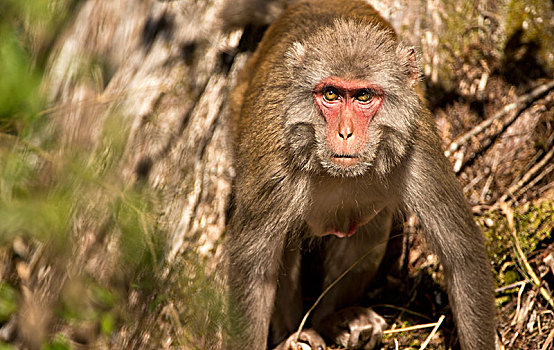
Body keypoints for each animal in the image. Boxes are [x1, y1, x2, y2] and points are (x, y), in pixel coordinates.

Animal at [225, 1, 496, 348]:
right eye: (331, 94)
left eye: (363, 96)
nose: (345, 132)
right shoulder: (275, 166)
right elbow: (253, 267)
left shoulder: (418, 149)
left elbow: (462, 254)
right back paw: (296, 333)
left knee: (368, 227)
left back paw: (333, 320)